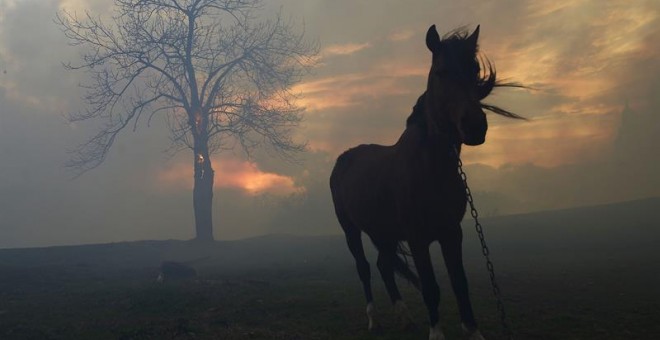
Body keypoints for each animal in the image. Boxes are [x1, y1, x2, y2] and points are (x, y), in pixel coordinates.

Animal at [328, 24, 520, 340]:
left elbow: (460, 283)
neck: (429, 168)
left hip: (383, 231)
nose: (475, 126)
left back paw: (404, 318)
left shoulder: (452, 233)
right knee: (364, 268)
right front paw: (437, 333)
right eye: (441, 71)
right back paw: (374, 320)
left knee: (384, 266)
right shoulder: (417, 238)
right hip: (351, 230)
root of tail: (344, 160)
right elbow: (431, 288)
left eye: (474, 70)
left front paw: (473, 331)